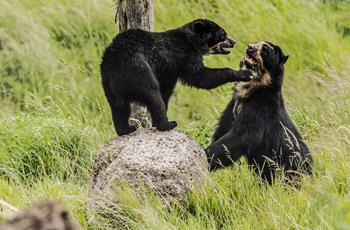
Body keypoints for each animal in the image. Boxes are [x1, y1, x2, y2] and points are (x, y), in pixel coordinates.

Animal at [100, 19, 254, 137]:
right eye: (222, 34)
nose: (234, 41)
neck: (193, 42)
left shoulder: (168, 70)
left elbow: (167, 90)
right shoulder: (182, 56)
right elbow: (200, 76)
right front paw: (243, 73)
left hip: (108, 83)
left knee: (119, 107)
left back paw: (126, 129)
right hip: (139, 71)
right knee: (153, 96)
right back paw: (167, 124)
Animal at [206, 41, 314, 184]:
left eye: (265, 50)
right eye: (255, 43)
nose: (250, 47)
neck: (252, 89)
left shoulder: (260, 110)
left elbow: (239, 136)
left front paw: (206, 155)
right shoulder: (232, 107)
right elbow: (222, 130)